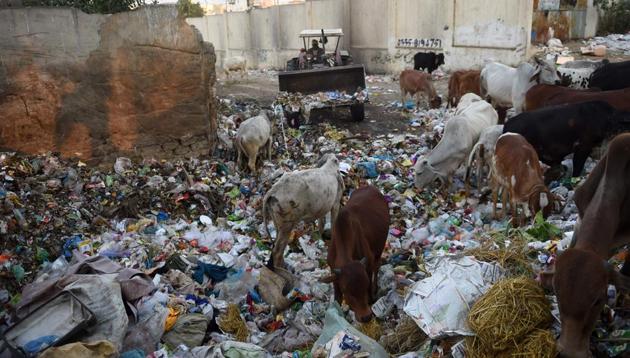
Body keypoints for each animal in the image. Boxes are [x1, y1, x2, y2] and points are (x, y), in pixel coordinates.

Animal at [320, 186, 390, 324]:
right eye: (347, 291)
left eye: (365, 284)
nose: (366, 317)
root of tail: (369, 187)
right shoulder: (334, 273)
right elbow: (337, 299)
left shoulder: (368, 264)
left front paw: (371, 297)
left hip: (379, 249)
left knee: (377, 266)